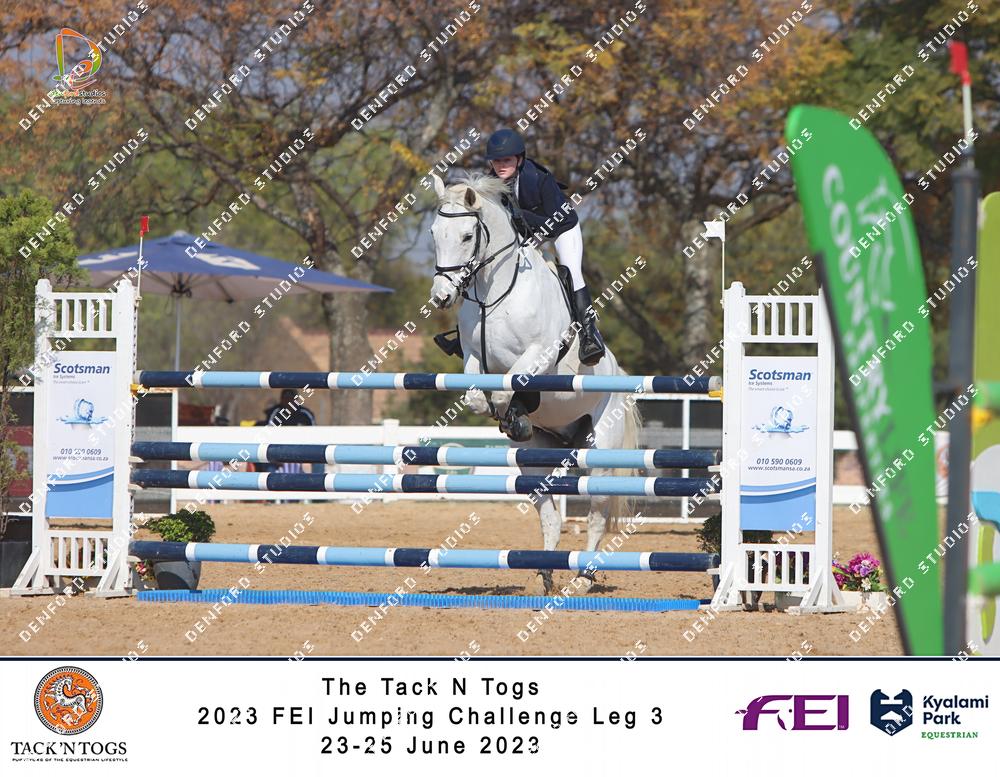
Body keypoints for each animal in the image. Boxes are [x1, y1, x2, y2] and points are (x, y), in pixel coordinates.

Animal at [429, 171, 642, 595]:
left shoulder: (539, 354)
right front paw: (511, 418)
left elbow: (509, 385)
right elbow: (478, 396)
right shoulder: (474, 358)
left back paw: (583, 578)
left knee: (595, 514)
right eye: (433, 233)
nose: (440, 296)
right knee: (549, 514)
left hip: (600, 450)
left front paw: (512, 412)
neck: (491, 294)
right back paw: (545, 573)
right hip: (537, 459)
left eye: (466, 235)